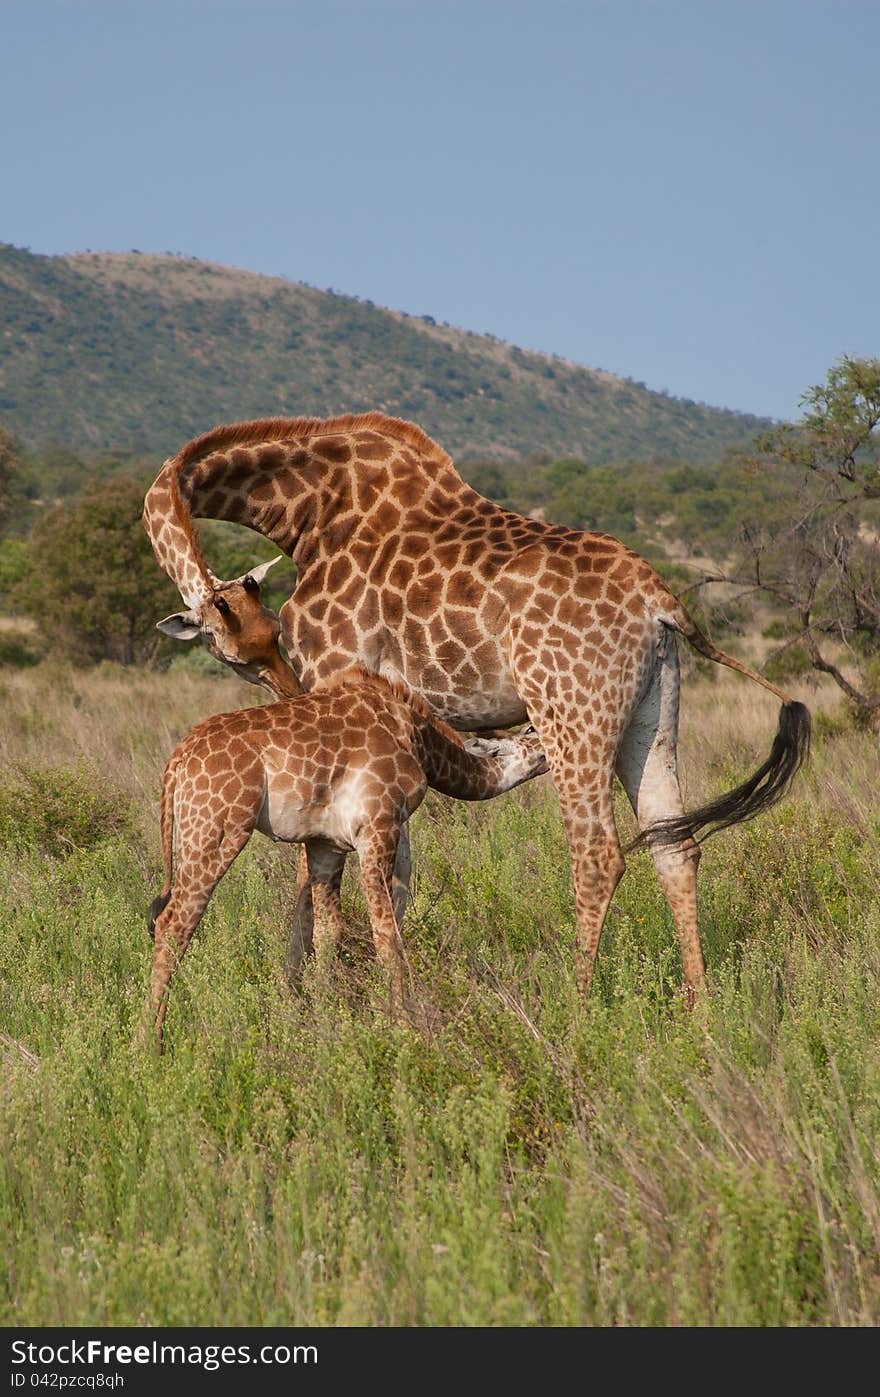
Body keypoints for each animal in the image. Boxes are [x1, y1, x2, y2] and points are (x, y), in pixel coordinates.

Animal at [144, 407, 815, 1000]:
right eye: (245, 648)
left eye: (274, 638)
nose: (287, 688)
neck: (311, 513)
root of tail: (660, 598)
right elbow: (389, 878)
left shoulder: (339, 680)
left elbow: (332, 873)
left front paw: (310, 1000)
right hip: (652, 716)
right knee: (674, 845)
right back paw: (699, 1015)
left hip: (571, 711)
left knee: (598, 857)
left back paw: (578, 1016)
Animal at [144, 664, 547, 1050]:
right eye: (530, 729)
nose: (552, 751)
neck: (422, 743)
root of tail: (176, 764)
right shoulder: (377, 827)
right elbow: (386, 934)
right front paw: (403, 1026)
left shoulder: (327, 844)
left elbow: (326, 932)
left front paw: (324, 1020)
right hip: (217, 828)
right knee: (174, 924)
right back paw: (149, 1046)